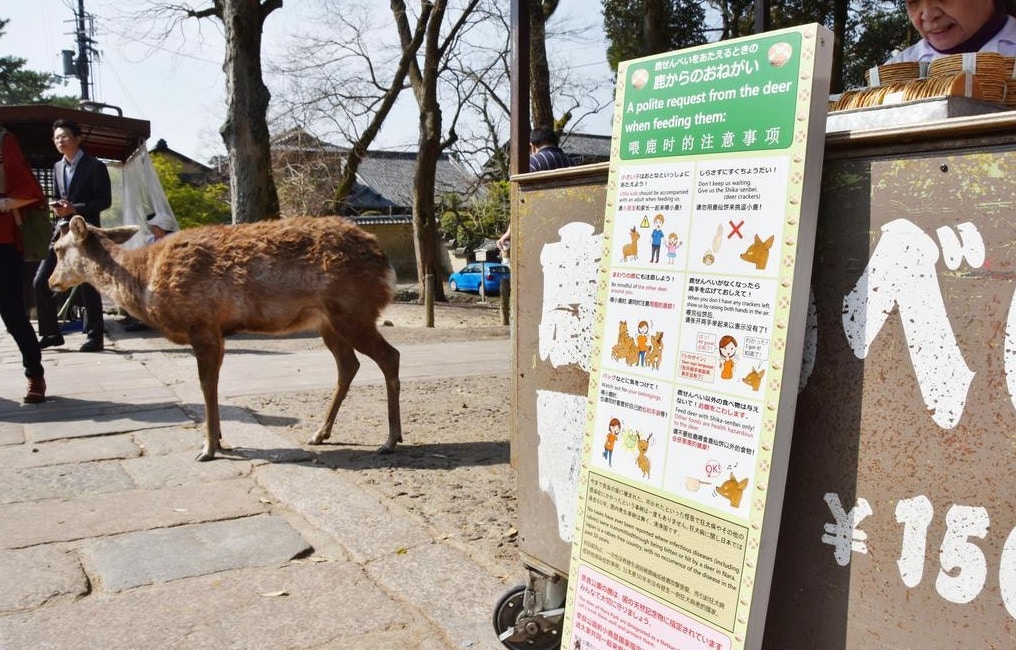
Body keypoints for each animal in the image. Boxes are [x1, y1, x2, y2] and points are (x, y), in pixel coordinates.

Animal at [50, 215, 400, 459]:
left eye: (57, 248)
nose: (52, 282)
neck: (146, 281)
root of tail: (385, 263)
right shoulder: (217, 333)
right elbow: (213, 384)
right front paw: (217, 440)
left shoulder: (201, 325)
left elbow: (206, 385)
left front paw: (208, 449)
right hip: (328, 322)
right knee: (348, 365)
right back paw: (320, 433)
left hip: (353, 311)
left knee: (389, 356)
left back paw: (391, 440)